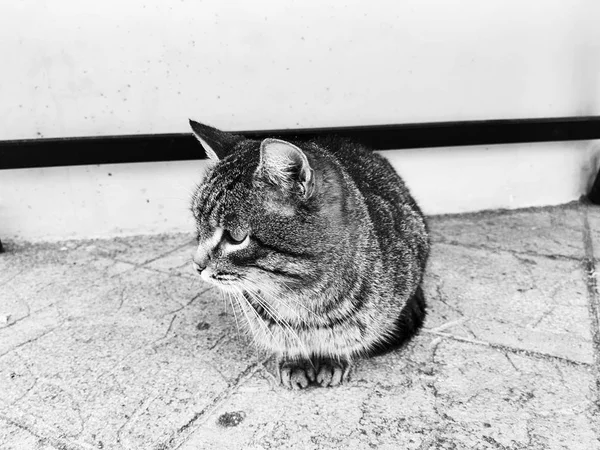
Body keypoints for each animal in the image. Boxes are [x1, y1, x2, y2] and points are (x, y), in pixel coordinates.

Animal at [190, 119, 428, 390]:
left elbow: (344, 341)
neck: (302, 300)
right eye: (198, 227)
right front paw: (295, 360)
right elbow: (286, 341)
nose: (197, 266)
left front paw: (333, 358)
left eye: (235, 238)